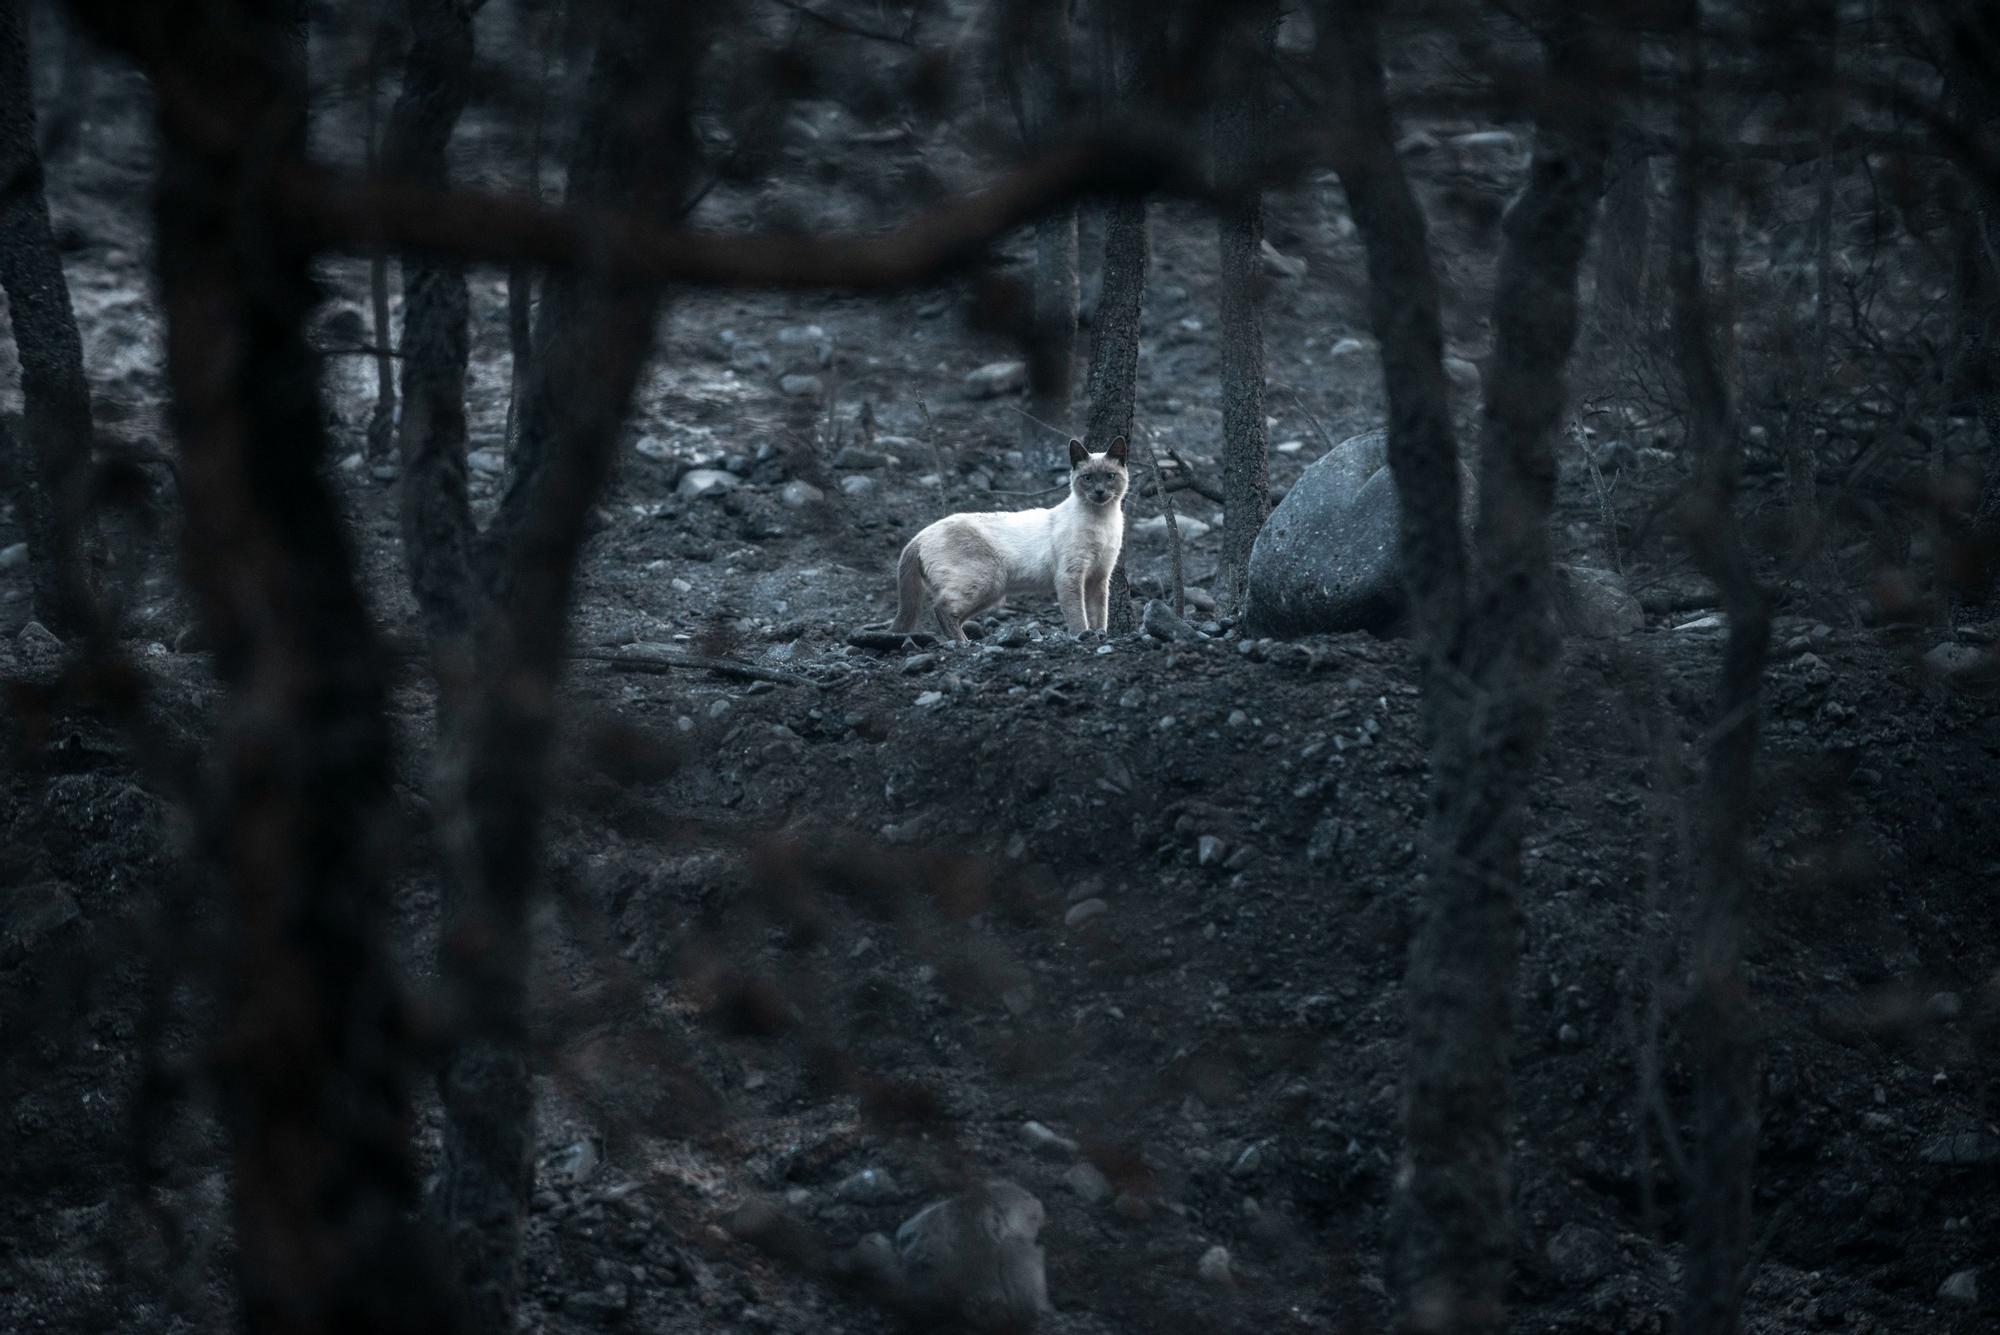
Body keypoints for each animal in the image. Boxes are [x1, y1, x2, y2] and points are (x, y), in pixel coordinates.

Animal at [892, 437, 1128, 639]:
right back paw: (964, 645)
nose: (1099, 492)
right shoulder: (1071, 575)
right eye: (1088, 478)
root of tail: (919, 535)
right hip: (987, 580)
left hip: (992, 593)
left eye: (1110, 476)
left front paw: (1100, 635)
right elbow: (1078, 616)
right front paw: (1083, 636)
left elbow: (1100, 615)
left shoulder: (1099, 577)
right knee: (941, 609)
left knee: (951, 613)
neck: (1102, 520)